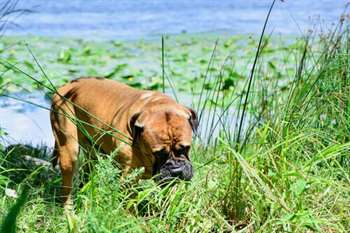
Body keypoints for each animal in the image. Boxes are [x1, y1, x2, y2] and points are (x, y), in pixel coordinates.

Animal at [49, 77, 198, 205]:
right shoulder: (127, 179)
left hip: (92, 151)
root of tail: (67, 86)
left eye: (186, 148)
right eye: (158, 153)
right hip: (68, 148)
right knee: (67, 186)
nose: (176, 170)